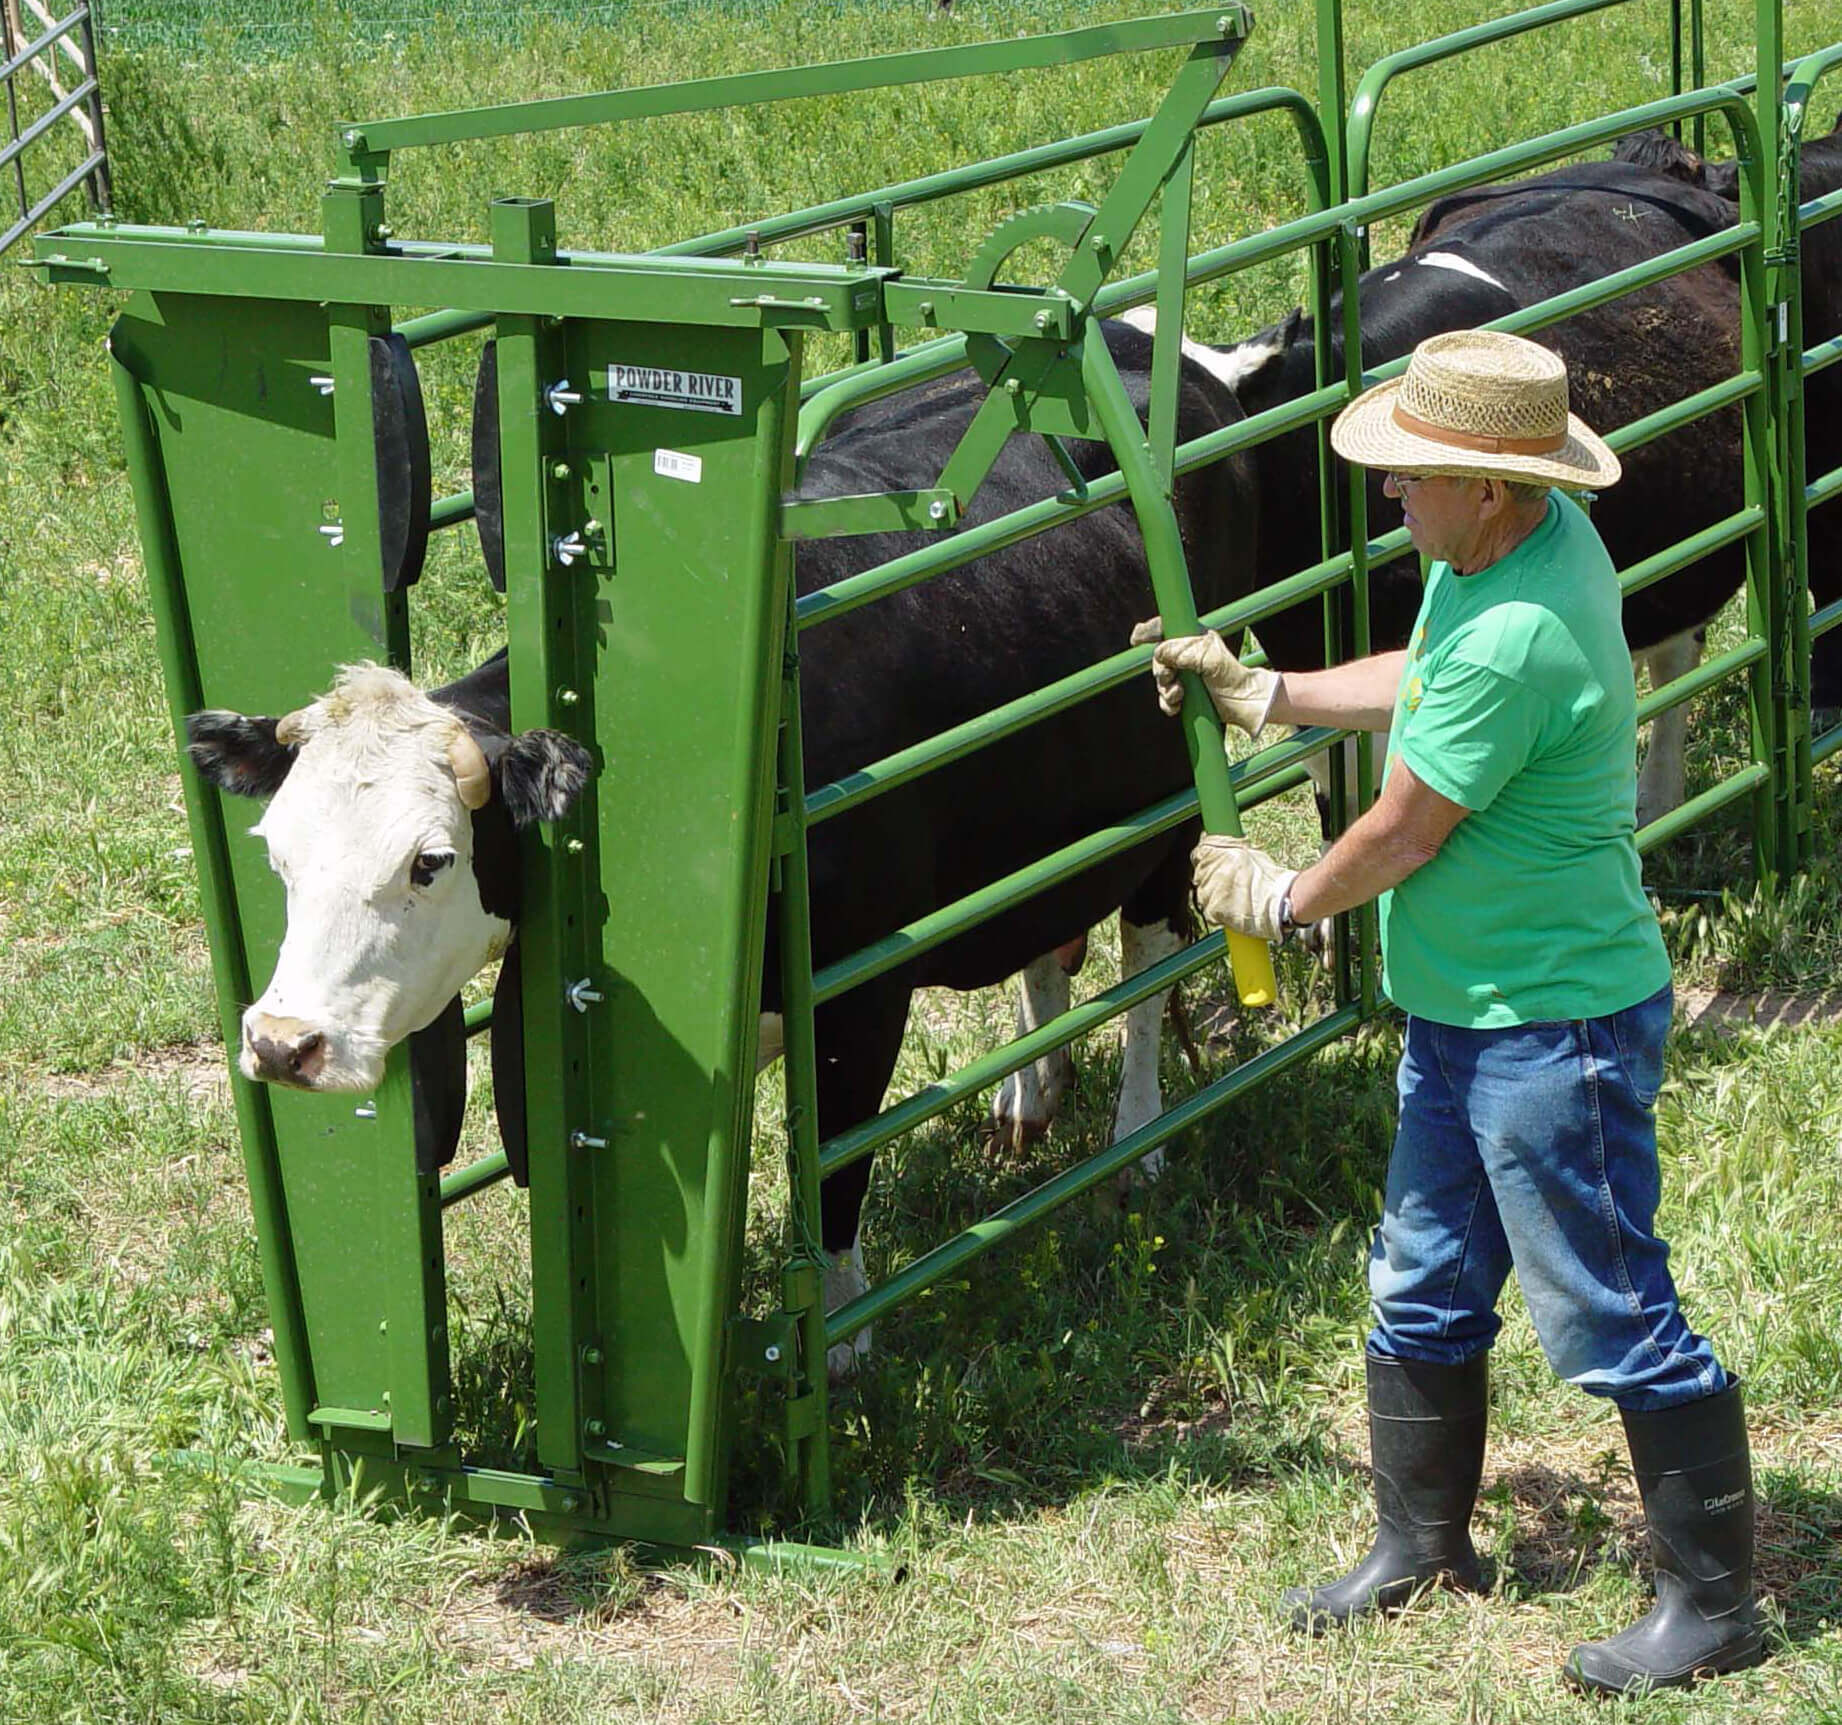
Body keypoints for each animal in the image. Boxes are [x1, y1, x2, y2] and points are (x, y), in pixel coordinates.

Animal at [186, 320, 1259, 1371]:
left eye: (430, 860)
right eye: (276, 851)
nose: (282, 1043)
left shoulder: (862, 997)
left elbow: (835, 1171)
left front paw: (844, 1346)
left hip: (1169, 821)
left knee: (1150, 967)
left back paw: (1140, 1144)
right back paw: (1031, 1099)